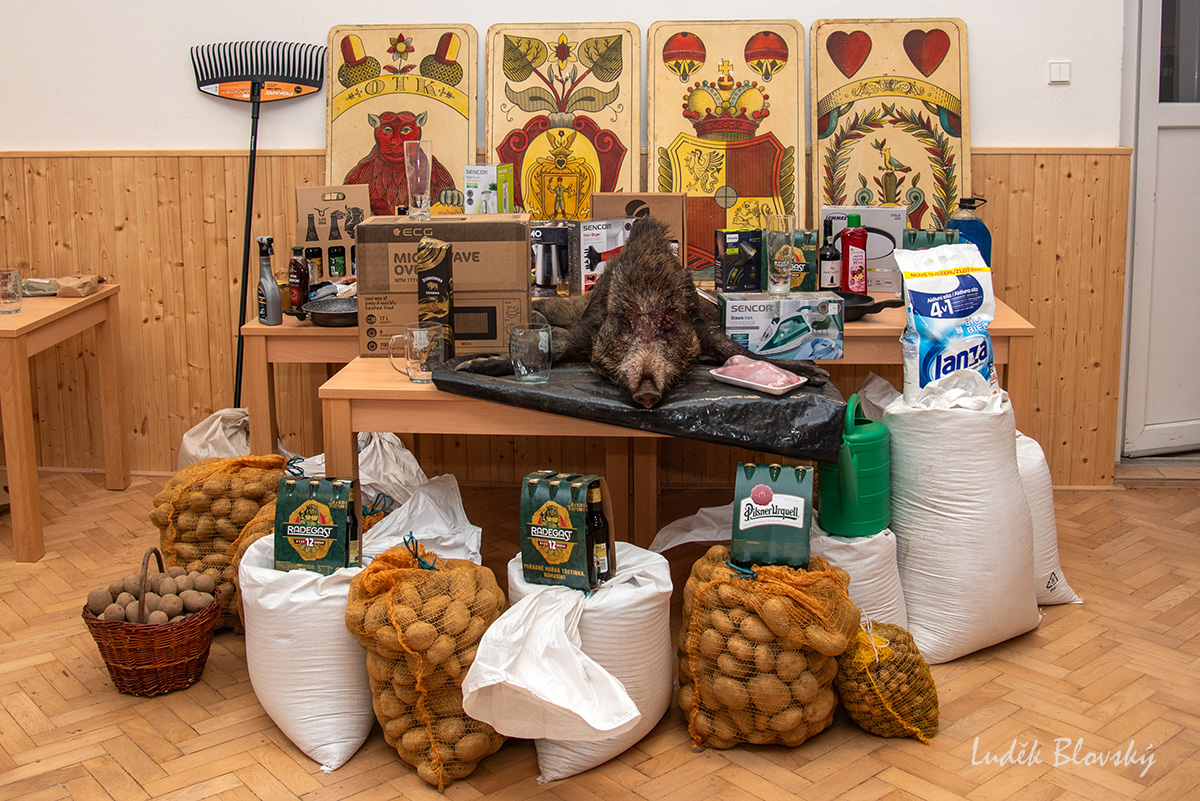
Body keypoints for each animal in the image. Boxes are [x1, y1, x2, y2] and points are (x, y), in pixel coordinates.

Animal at [459, 217, 827, 408]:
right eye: (624, 322)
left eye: (668, 322)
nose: (647, 392)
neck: (647, 285)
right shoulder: (590, 326)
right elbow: (561, 343)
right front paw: (468, 368)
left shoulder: (701, 327)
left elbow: (734, 349)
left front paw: (816, 376)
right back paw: (534, 317)